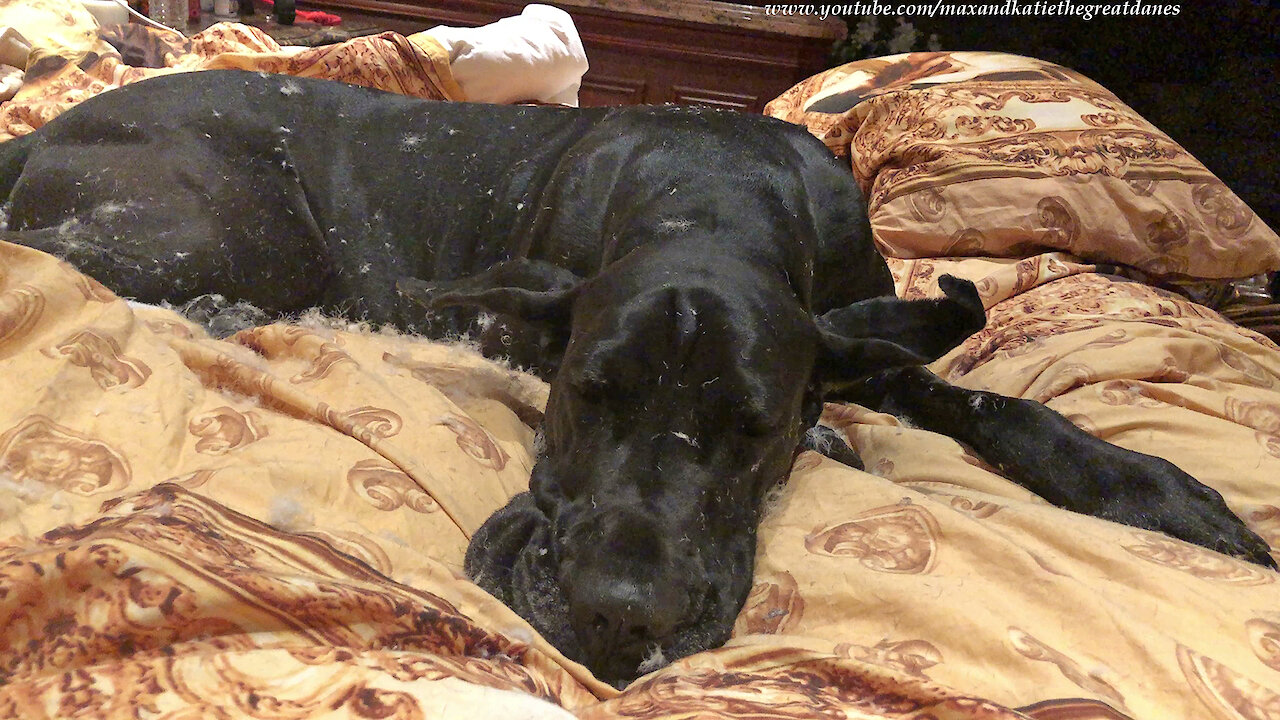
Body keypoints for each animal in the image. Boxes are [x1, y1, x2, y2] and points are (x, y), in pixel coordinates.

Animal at [2, 70, 1269, 681]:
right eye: (581, 395)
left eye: (753, 430)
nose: (619, 616)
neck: (711, 198)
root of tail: (40, 130)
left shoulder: (857, 329)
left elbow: (980, 395)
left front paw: (1155, 490)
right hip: (232, 220)